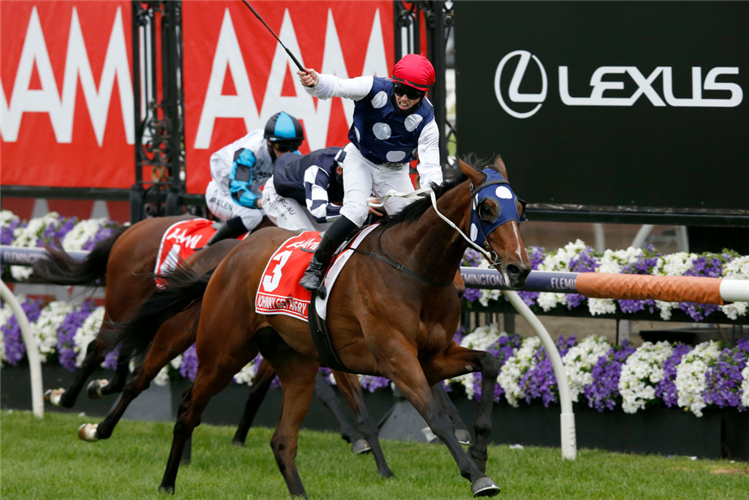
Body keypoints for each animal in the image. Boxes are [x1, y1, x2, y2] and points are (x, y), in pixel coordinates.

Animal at [114, 156, 528, 496]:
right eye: (488, 207)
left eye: (521, 208)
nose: (519, 268)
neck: (411, 268)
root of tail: (228, 258)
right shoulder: (396, 359)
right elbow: (435, 416)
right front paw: (477, 475)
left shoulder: (432, 356)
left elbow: (490, 364)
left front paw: (480, 447)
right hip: (222, 352)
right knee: (187, 409)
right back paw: (165, 480)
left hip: (294, 362)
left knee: (282, 440)